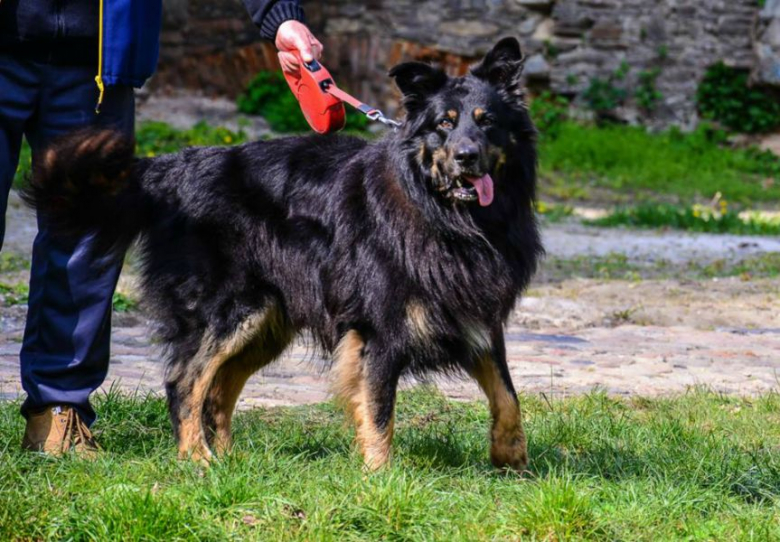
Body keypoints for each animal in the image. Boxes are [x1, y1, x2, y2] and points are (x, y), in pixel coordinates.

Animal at [29, 37, 544, 472]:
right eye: (444, 125)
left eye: (487, 121)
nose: (466, 157)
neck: (447, 215)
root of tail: (169, 170)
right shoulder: (378, 331)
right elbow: (379, 411)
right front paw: (381, 478)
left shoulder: (476, 316)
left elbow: (507, 394)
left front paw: (512, 460)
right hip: (227, 311)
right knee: (185, 383)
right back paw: (198, 459)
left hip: (264, 321)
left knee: (218, 391)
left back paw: (230, 461)